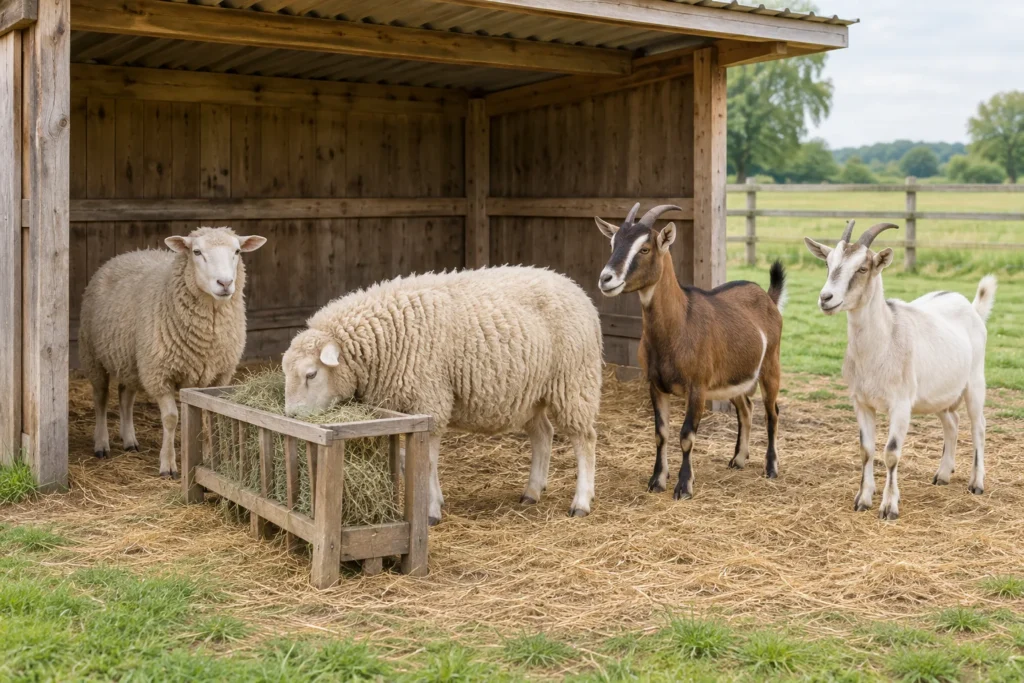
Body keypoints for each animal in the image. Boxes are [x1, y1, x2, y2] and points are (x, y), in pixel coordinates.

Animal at [79, 227, 266, 478]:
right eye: (196, 252)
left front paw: (208, 459)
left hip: (132, 360)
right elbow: (170, 418)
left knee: (125, 396)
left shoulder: (215, 376)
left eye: (237, 251)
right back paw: (101, 444)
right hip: (93, 355)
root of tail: (127, 253)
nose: (225, 283)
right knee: (101, 397)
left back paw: (129, 441)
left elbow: (208, 416)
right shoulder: (160, 375)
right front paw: (168, 465)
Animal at [281, 266, 603, 524]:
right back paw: (533, 491)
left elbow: (427, 461)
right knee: (543, 434)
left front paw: (430, 511)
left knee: (584, 440)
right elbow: (410, 460)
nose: (291, 417)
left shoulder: (430, 400)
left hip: (574, 381)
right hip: (529, 393)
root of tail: (573, 286)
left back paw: (581, 502)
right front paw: (431, 499)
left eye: (311, 374)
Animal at [595, 203, 787, 501]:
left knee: (772, 413)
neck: (679, 324)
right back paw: (738, 460)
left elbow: (686, 435)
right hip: (732, 377)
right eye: (613, 243)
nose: (606, 279)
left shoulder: (697, 387)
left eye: (645, 249)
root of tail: (768, 298)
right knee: (746, 408)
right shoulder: (655, 385)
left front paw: (684, 486)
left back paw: (771, 468)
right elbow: (661, 433)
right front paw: (657, 481)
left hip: (770, 366)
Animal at [804, 221, 996, 520]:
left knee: (979, 426)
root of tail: (971, 307)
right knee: (952, 423)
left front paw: (889, 507)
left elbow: (891, 452)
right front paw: (863, 500)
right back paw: (943, 475)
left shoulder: (901, 403)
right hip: (940, 392)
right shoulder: (861, 402)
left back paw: (976, 483)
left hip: (975, 382)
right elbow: (866, 450)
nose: (826, 298)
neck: (882, 343)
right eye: (828, 263)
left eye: (862, 268)